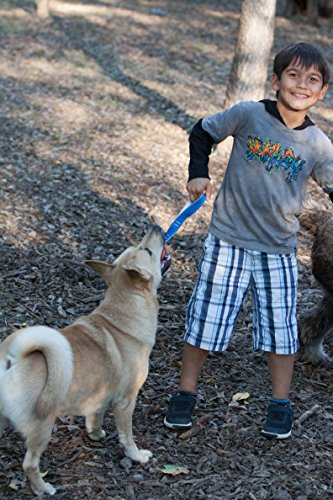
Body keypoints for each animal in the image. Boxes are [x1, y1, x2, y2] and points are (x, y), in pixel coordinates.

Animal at [0, 227, 165, 496]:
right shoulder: (126, 401)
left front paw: (95, 434)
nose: (157, 228)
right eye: (148, 251)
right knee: (30, 464)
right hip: (42, 426)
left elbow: (94, 417)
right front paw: (136, 455)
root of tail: (11, 359)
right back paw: (43, 488)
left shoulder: (98, 397)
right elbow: (127, 436)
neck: (121, 314)